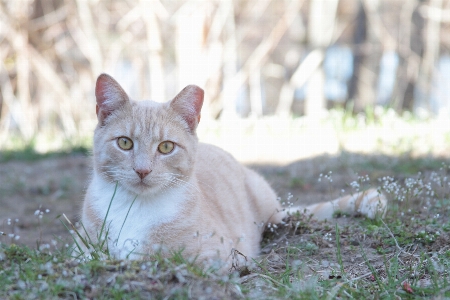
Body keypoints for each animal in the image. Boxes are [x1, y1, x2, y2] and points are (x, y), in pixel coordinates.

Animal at [80, 74, 386, 270]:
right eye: (124, 143)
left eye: (166, 147)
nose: (143, 170)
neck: (136, 207)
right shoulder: (83, 250)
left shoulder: (215, 255)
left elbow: (156, 258)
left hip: (268, 211)